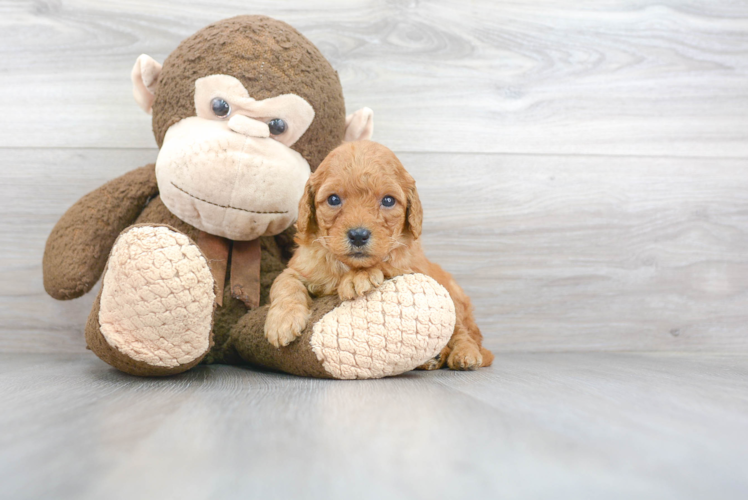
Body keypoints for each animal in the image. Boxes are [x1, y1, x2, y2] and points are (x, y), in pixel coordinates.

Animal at [266, 139, 494, 370]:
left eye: (388, 201)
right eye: (333, 199)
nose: (358, 235)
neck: (346, 266)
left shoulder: (409, 264)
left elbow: (388, 262)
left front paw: (359, 277)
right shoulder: (302, 266)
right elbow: (284, 283)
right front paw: (282, 321)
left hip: (452, 298)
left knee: (462, 332)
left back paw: (464, 354)